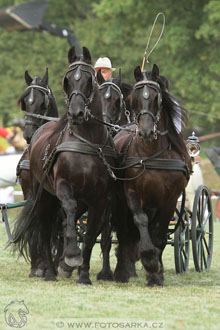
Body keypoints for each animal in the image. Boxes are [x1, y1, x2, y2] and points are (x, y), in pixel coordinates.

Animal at [12, 46, 116, 284]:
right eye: (67, 80)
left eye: (88, 80)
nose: (76, 113)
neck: (86, 140)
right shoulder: (63, 187)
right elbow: (67, 214)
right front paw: (70, 256)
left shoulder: (99, 198)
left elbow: (91, 234)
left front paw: (83, 274)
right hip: (40, 196)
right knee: (44, 229)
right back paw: (47, 270)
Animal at [112, 64, 192, 286]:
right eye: (134, 98)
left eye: (158, 98)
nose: (146, 132)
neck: (152, 153)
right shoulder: (131, 191)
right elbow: (140, 221)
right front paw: (148, 258)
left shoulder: (170, 198)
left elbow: (159, 233)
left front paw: (155, 272)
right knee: (123, 230)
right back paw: (122, 270)